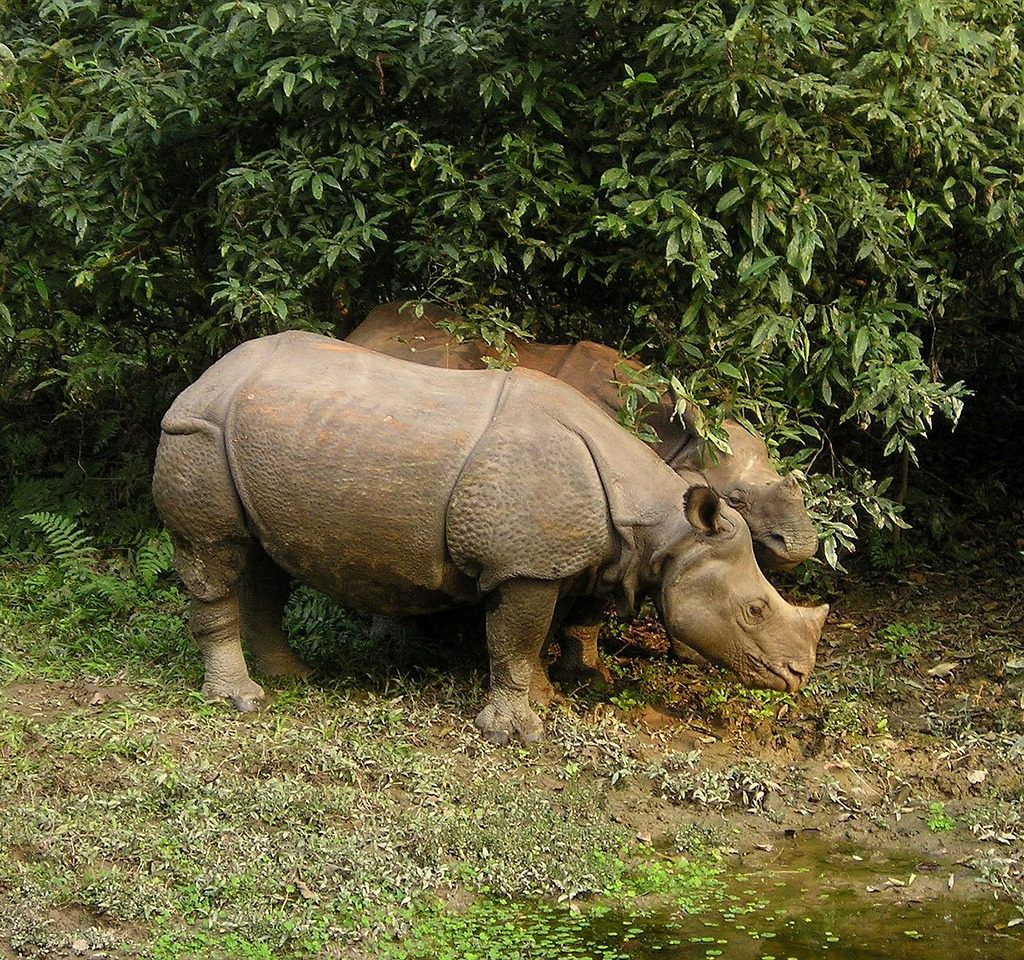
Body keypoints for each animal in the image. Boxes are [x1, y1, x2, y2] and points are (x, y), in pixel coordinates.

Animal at [152, 332, 827, 743]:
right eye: (754, 609)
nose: (799, 676)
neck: (660, 522)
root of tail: (206, 374)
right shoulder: (524, 564)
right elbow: (516, 638)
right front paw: (516, 732)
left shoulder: (562, 557)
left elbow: (541, 634)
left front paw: (549, 700)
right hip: (199, 430)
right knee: (214, 555)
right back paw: (242, 702)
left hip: (263, 437)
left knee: (267, 563)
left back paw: (294, 679)